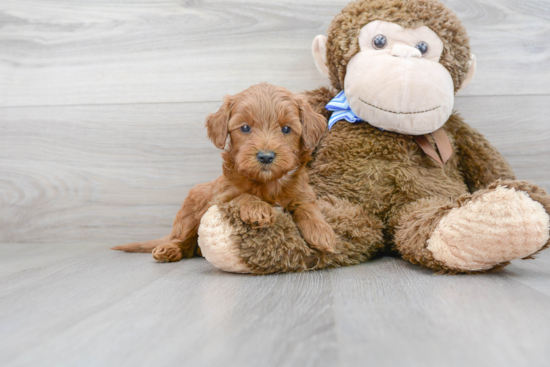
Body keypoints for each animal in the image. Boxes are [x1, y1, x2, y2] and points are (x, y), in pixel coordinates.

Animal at [112, 82, 336, 264]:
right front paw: (258, 209)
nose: (265, 157)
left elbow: (308, 208)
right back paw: (169, 249)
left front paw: (322, 232)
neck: (268, 183)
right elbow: (243, 196)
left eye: (287, 129)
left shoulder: (303, 193)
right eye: (245, 128)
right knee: (183, 240)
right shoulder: (221, 198)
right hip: (189, 215)